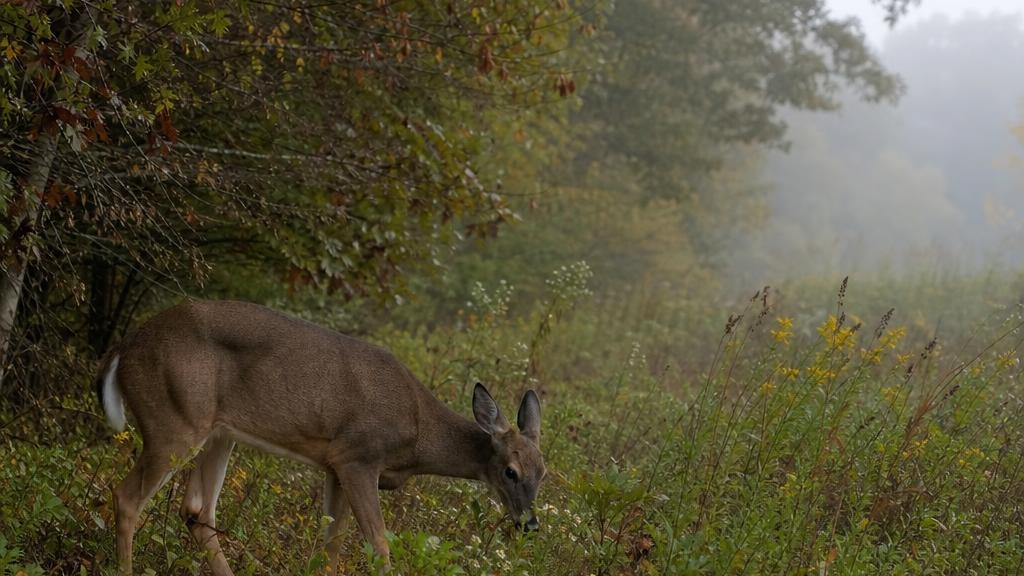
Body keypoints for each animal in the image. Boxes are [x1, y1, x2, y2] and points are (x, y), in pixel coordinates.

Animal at [95, 299, 546, 575]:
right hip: (174, 420)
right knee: (128, 497)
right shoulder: (358, 456)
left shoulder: (334, 465)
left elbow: (331, 545)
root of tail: (124, 347)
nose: (531, 525)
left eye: (543, 473)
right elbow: (378, 546)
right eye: (510, 471)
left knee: (196, 511)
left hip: (218, 432)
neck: (418, 433)